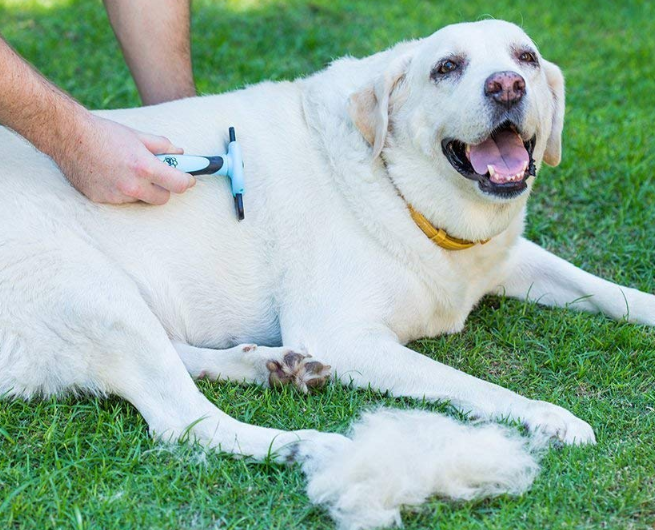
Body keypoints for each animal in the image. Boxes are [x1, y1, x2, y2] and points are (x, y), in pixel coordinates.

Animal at [1, 20, 655, 528]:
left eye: (526, 58)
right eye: (447, 67)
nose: (508, 85)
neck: (400, 189)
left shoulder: (508, 257)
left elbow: (610, 292)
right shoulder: (345, 334)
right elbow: (476, 387)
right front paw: (549, 416)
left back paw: (269, 365)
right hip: (94, 290)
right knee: (184, 423)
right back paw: (303, 444)